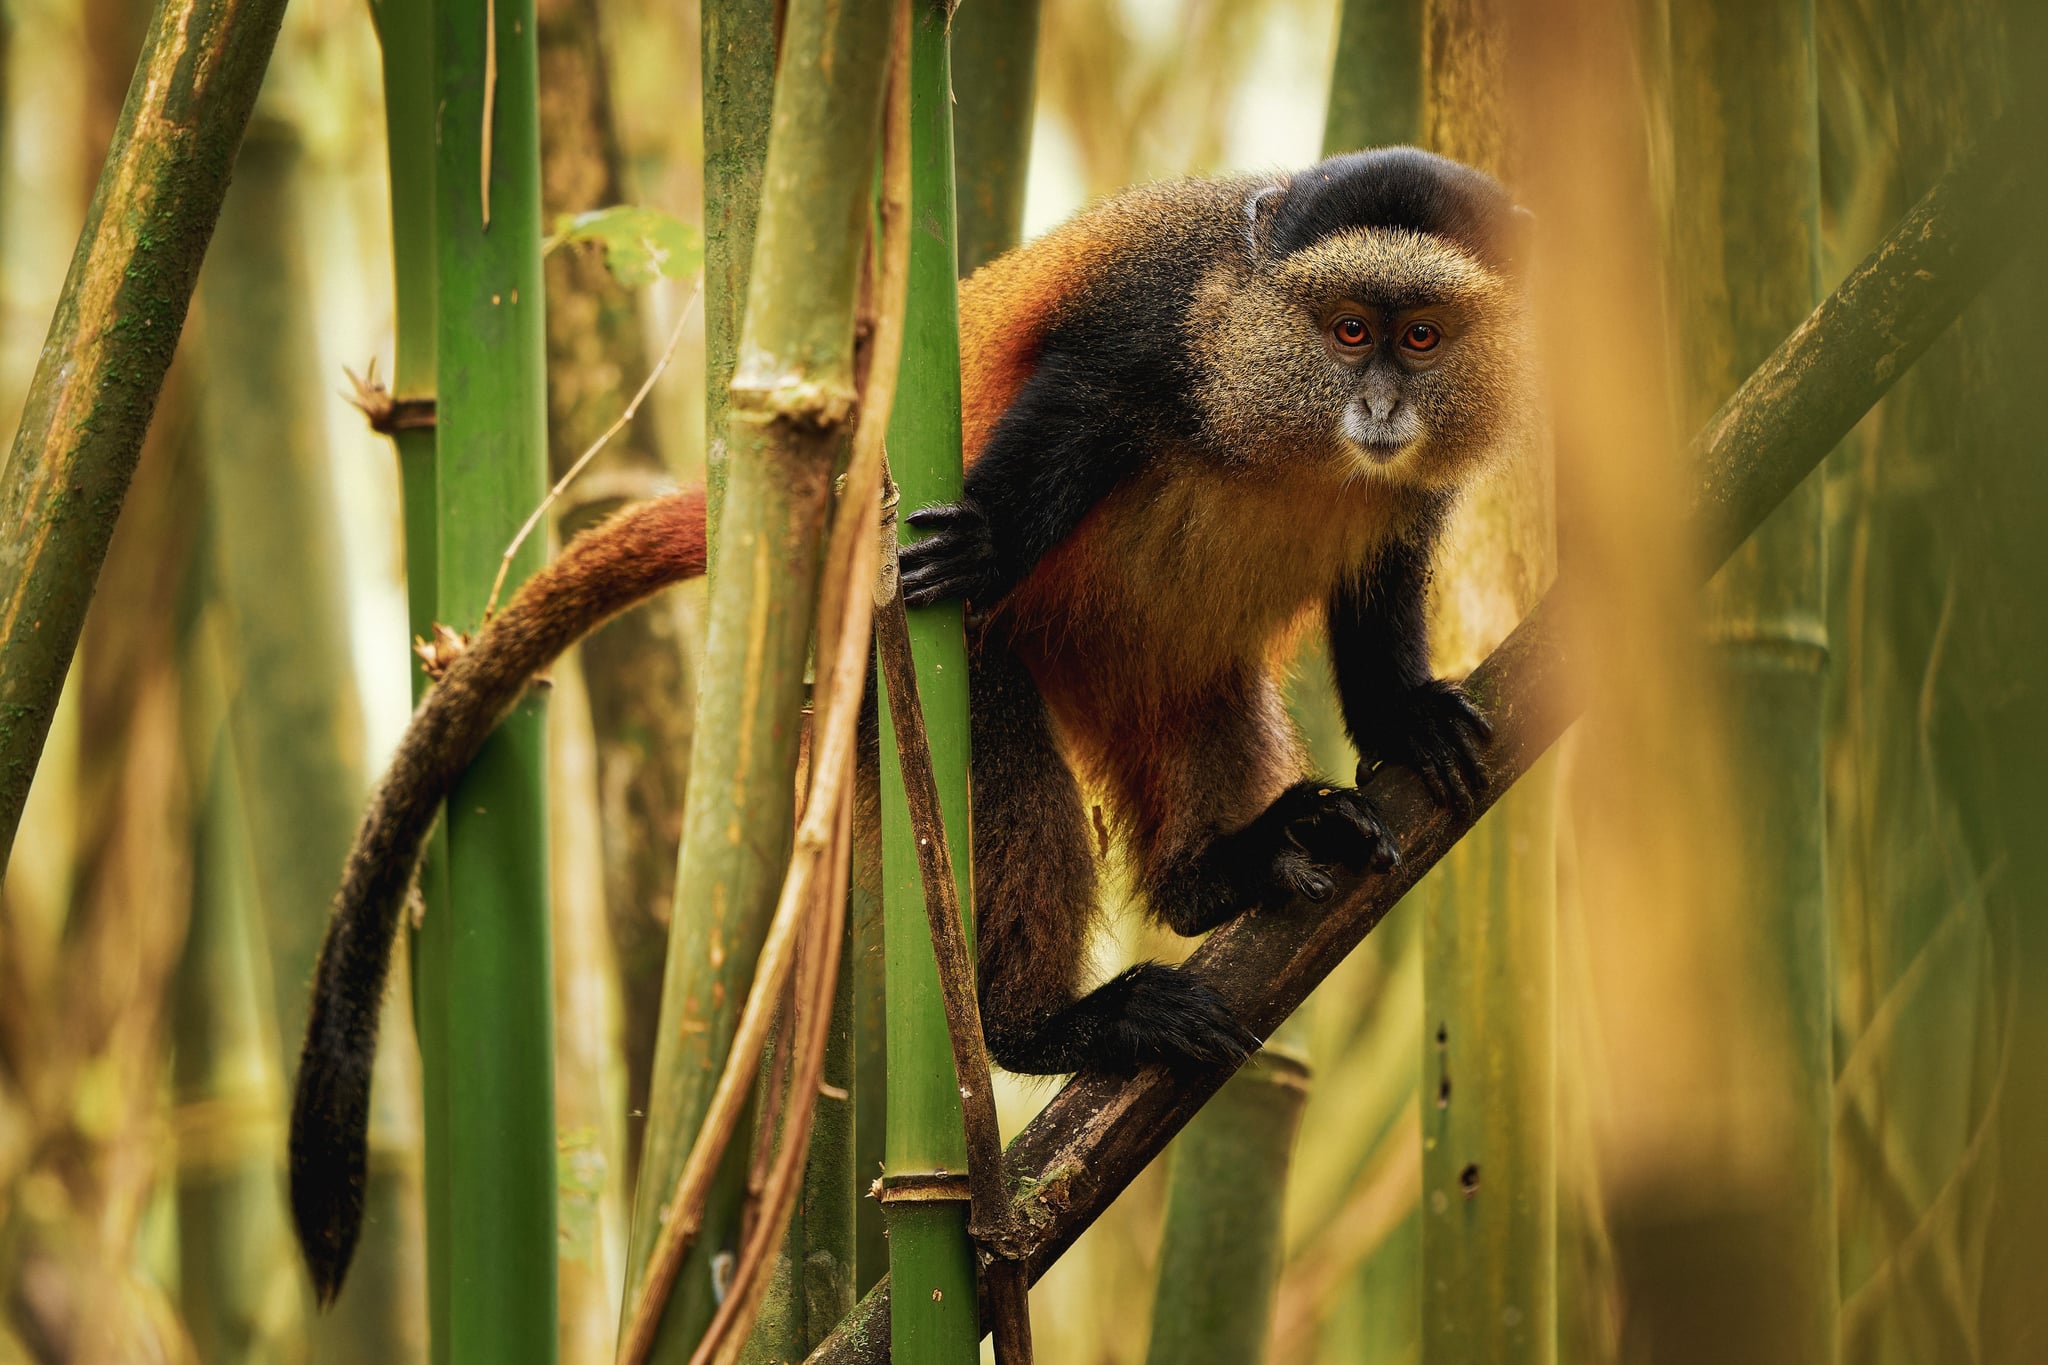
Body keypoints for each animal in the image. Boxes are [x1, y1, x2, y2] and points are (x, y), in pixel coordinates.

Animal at [287, 145, 1528, 1301]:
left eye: (1420, 339)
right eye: (1347, 329)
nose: (1380, 409)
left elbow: (1388, 569)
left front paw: (1404, 721)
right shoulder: (1157, 312)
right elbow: (1080, 398)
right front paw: (986, 539)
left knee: (1194, 716)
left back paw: (1230, 868)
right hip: (903, 672)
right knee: (999, 760)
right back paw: (1043, 1024)